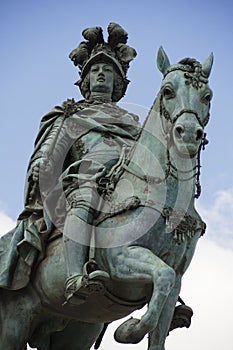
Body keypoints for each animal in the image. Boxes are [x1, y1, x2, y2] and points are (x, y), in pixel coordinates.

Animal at [0, 46, 213, 350]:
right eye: (168, 91)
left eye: (207, 96)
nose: (188, 134)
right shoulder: (121, 259)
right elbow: (162, 276)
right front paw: (129, 330)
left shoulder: (177, 280)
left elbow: (161, 312)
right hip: (14, 322)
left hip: (76, 329)